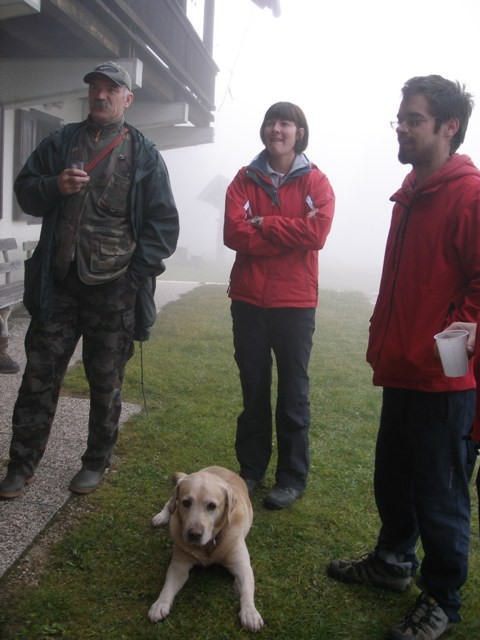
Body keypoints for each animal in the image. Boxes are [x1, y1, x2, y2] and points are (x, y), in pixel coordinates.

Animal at [149, 464, 264, 632]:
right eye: (186, 502)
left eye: (211, 506)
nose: (194, 534)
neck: (209, 544)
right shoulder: (179, 565)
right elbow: (168, 586)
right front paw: (159, 604)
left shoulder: (242, 565)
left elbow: (247, 590)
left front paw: (250, 612)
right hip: (173, 501)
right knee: (169, 505)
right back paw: (161, 516)